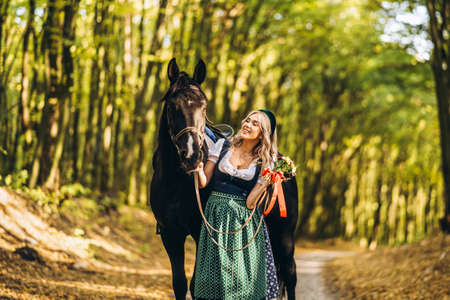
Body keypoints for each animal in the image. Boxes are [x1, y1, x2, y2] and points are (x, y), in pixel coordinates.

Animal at [151, 58, 298, 300]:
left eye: (204, 106)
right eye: (172, 106)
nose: (192, 155)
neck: (176, 183)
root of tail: (283, 167)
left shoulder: (202, 232)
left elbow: (197, 285)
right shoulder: (170, 235)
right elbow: (180, 283)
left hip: (285, 236)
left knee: (290, 275)